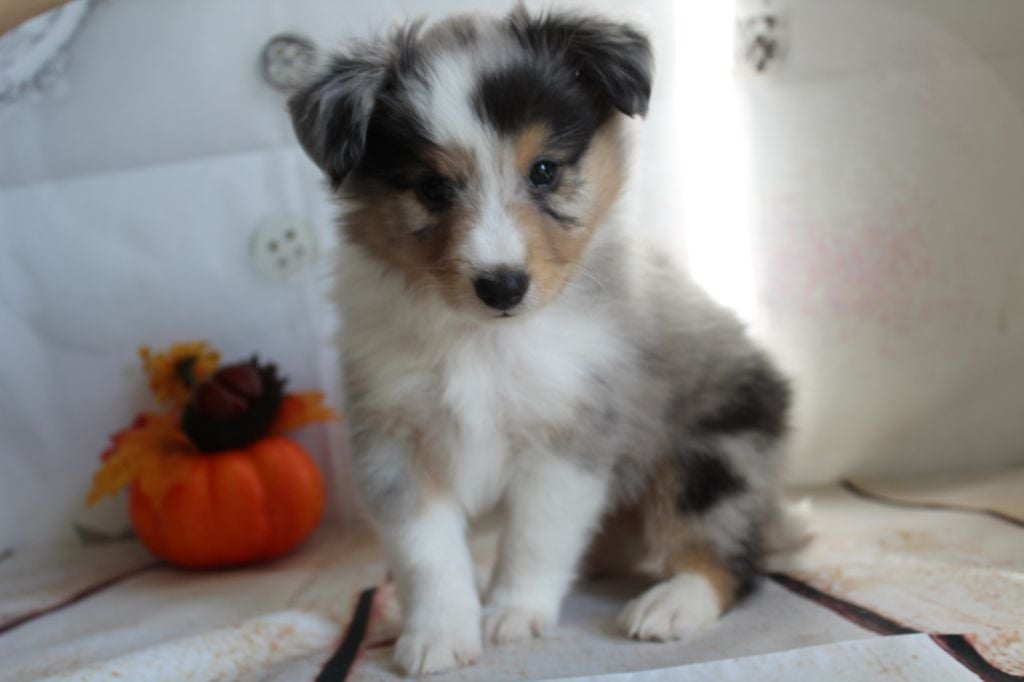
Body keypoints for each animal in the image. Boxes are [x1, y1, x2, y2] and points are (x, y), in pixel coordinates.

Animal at [288, 6, 790, 675]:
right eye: (431, 188)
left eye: (544, 171)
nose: (502, 286)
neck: (483, 340)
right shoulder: (394, 437)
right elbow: (427, 551)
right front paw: (440, 633)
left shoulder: (570, 432)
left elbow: (535, 534)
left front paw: (513, 613)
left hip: (714, 455)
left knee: (729, 556)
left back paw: (671, 604)